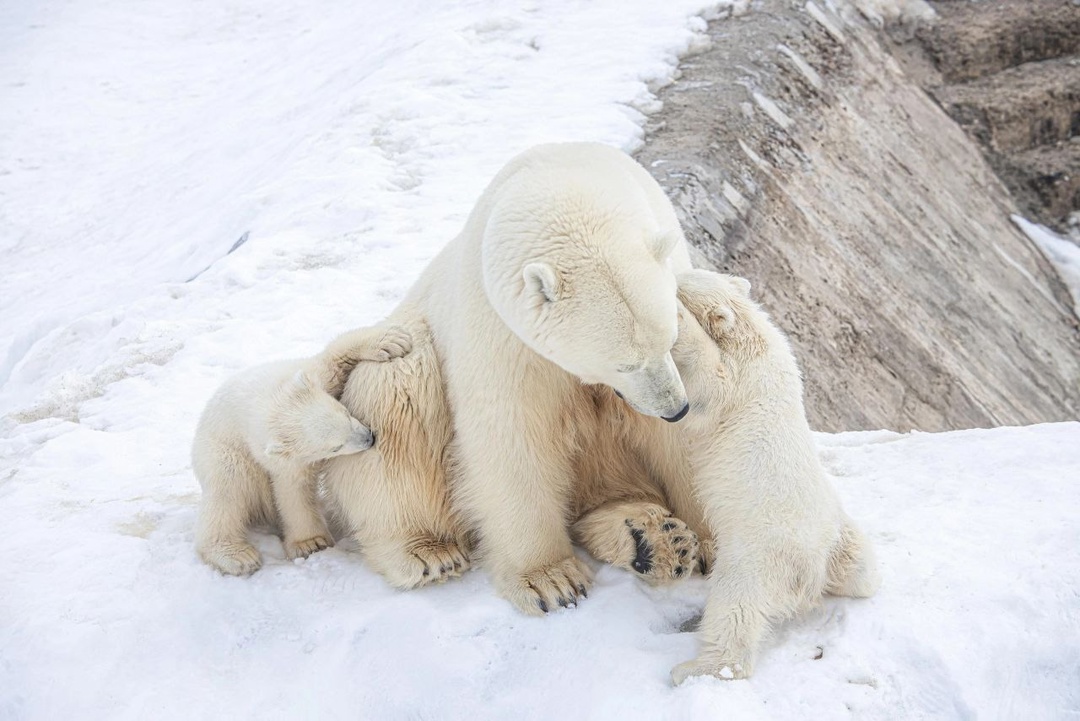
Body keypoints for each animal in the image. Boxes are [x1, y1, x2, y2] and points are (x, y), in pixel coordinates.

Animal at [401, 142, 695, 613]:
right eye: (624, 364)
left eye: (670, 339)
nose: (675, 409)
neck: (565, 173)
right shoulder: (503, 332)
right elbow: (513, 435)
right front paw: (551, 579)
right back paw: (426, 551)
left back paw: (655, 539)